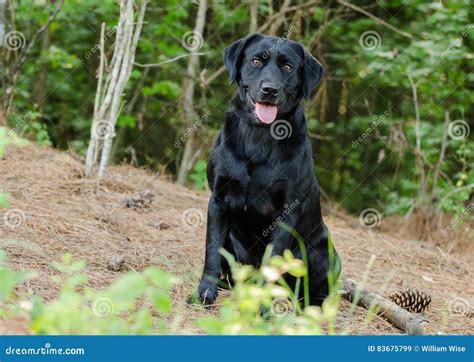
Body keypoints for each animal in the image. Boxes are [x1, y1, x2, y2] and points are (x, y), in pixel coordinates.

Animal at [196, 33, 340, 306]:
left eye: (288, 67)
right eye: (255, 61)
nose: (270, 90)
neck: (259, 135)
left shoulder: (286, 213)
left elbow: (271, 264)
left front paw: (261, 307)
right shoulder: (218, 200)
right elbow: (211, 249)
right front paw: (205, 291)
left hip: (324, 252)